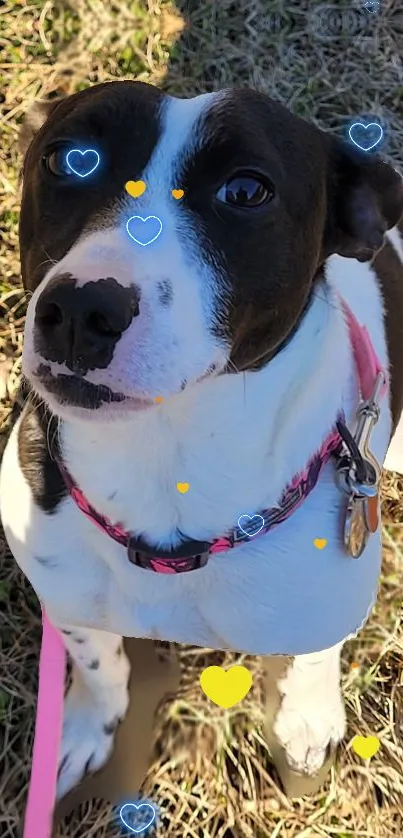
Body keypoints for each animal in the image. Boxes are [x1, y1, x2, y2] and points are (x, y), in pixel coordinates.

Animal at [0, 82, 403, 804]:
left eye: (245, 190)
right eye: (68, 159)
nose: (80, 312)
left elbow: (313, 656)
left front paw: (305, 719)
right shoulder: (67, 596)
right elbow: (98, 661)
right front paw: (86, 726)